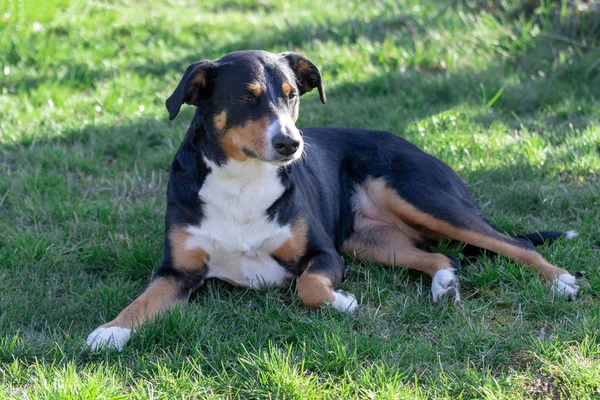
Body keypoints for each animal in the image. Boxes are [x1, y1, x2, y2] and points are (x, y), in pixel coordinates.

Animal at [86, 49, 580, 350]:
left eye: (291, 96)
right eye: (246, 98)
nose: (290, 143)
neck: (243, 181)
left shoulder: (323, 254)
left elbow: (308, 286)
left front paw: (340, 302)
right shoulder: (176, 271)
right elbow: (141, 302)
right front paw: (110, 332)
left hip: (421, 198)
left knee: (515, 243)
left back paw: (560, 281)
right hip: (370, 242)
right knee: (442, 257)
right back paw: (444, 285)